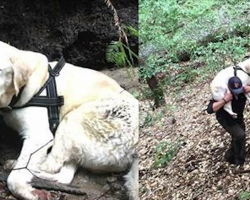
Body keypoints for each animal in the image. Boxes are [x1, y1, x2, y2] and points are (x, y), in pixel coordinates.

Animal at [0, 41, 139, 200]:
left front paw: (28, 192)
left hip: (74, 119)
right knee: (64, 175)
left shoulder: (39, 137)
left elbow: (14, 178)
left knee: (50, 164)